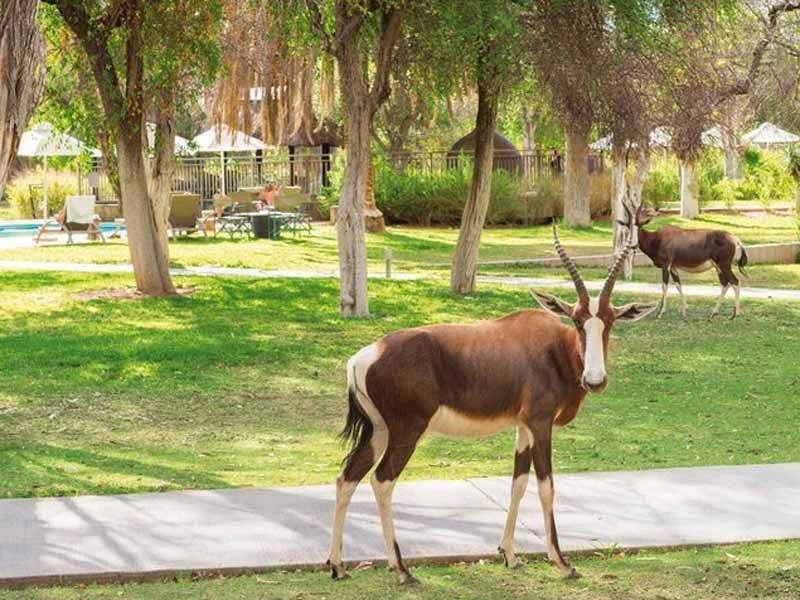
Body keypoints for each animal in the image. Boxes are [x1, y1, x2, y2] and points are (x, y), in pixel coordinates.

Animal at [327, 226, 658, 586]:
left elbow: (518, 483)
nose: (595, 380)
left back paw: (338, 566)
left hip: (379, 431)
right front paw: (563, 562)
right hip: (406, 431)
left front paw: (510, 556)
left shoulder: (523, 427)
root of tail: (362, 358)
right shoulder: (540, 424)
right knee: (382, 480)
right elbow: (546, 486)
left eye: (609, 320)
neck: (553, 348)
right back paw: (402, 570)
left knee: (347, 477)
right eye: (576, 319)